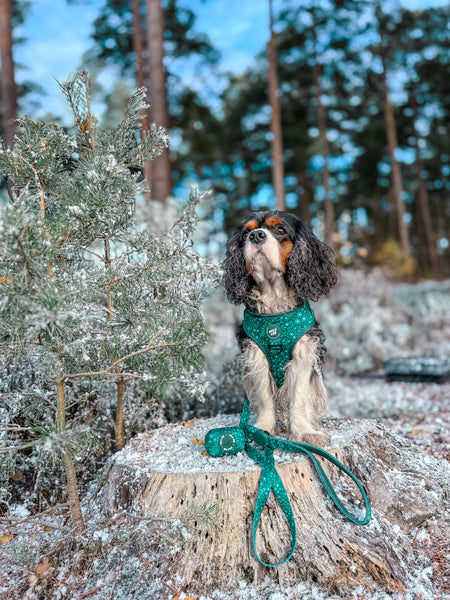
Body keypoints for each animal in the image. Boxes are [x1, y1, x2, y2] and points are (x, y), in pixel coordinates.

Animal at [223, 211, 336, 446]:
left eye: (280, 230)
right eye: (246, 233)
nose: (256, 236)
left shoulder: (303, 355)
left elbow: (299, 398)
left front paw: (303, 432)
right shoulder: (256, 356)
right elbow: (265, 398)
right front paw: (263, 429)